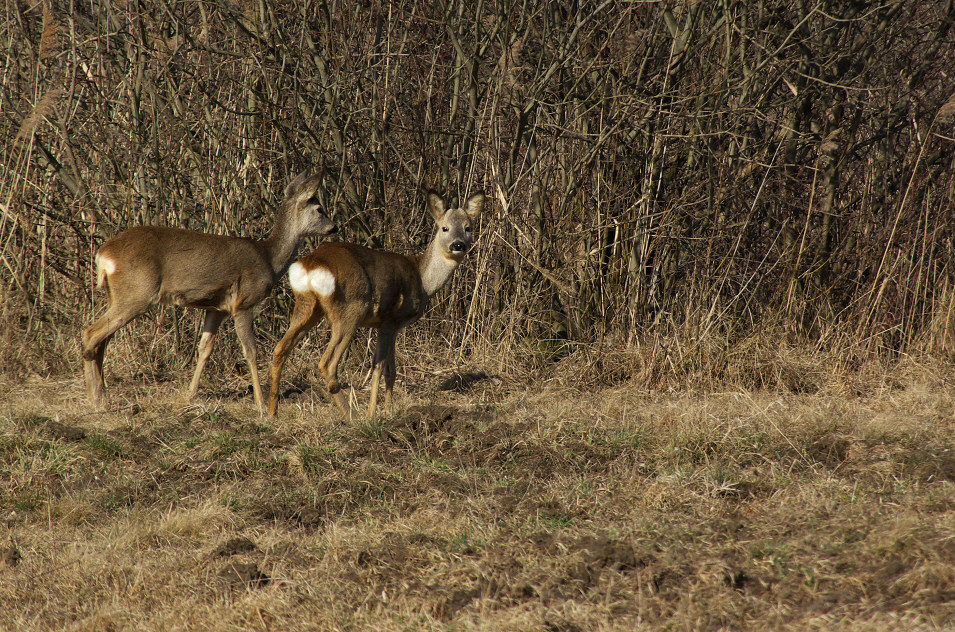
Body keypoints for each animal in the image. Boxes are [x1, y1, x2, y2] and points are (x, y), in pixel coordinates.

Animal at [80, 170, 338, 412]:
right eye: (319, 209)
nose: (334, 227)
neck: (269, 259)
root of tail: (103, 255)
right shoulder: (243, 303)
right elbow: (251, 351)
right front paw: (261, 403)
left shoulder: (217, 308)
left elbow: (205, 349)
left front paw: (190, 394)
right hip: (137, 292)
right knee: (91, 334)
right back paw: (96, 400)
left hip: (118, 295)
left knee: (102, 341)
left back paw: (102, 397)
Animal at [268, 190, 486, 422]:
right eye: (444, 228)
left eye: (468, 227)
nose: (458, 245)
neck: (422, 278)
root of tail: (312, 263)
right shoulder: (390, 319)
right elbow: (378, 367)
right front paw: (373, 414)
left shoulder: (392, 326)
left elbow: (392, 371)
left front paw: (389, 412)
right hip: (351, 308)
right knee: (326, 364)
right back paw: (352, 417)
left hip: (307, 306)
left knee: (280, 349)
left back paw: (271, 413)